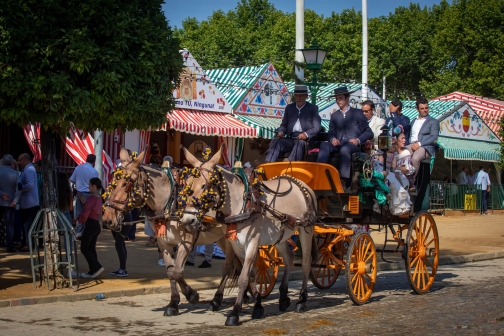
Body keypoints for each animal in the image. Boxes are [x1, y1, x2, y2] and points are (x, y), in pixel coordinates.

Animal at [179, 144, 316, 326]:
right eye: (187, 185)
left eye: (204, 186)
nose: (188, 219)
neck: (242, 204)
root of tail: (302, 185)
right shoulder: (236, 244)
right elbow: (248, 274)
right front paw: (257, 305)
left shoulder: (252, 243)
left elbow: (244, 278)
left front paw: (234, 313)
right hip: (280, 236)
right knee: (289, 258)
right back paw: (284, 298)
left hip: (306, 230)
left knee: (306, 263)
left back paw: (301, 300)